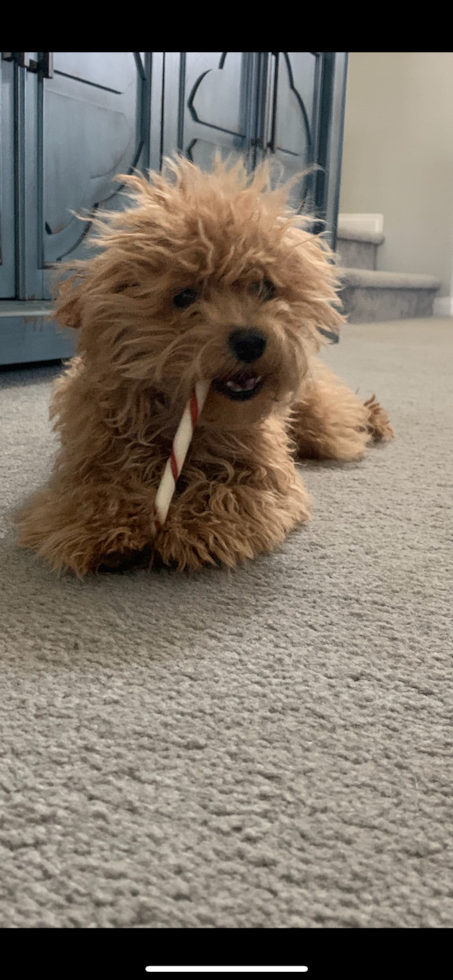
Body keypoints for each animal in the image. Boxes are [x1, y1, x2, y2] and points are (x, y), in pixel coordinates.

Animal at [15, 155, 392, 576]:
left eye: (265, 287)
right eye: (184, 296)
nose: (251, 340)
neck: (177, 414)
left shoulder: (267, 474)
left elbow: (231, 491)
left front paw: (195, 527)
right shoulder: (87, 463)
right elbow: (92, 493)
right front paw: (105, 529)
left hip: (320, 420)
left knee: (345, 416)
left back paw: (375, 420)